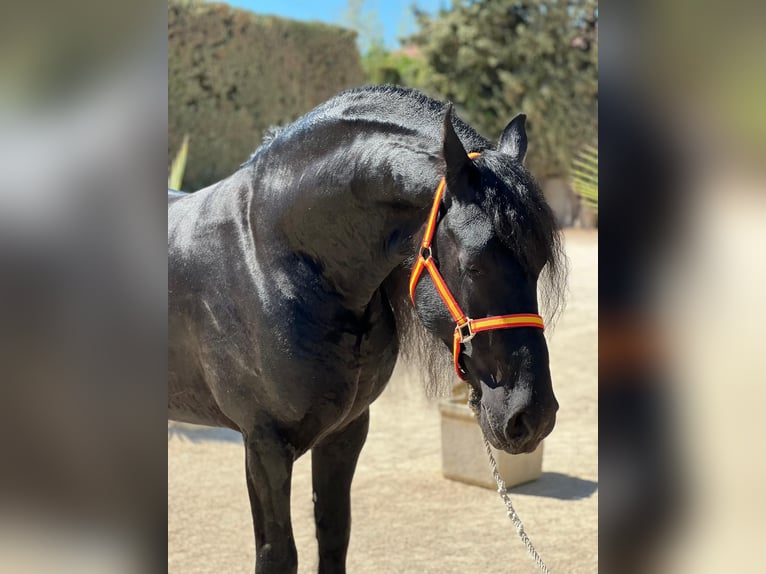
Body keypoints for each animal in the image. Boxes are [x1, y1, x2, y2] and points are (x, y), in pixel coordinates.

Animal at [168, 85, 566, 574]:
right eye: (475, 265)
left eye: (540, 263)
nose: (533, 415)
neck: (269, 258)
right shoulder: (263, 444)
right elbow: (278, 554)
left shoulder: (346, 432)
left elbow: (334, 534)